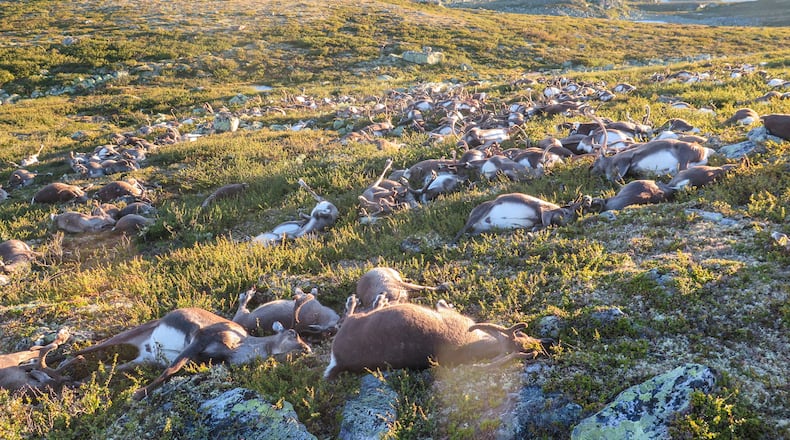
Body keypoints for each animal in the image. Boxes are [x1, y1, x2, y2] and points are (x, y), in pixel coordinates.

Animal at [75, 307, 312, 400]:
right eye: (293, 333)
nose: (307, 349)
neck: (238, 346)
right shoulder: (200, 338)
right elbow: (172, 369)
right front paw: (138, 392)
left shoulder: (203, 357)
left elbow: (173, 369)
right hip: (133, 332)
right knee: (85, 351)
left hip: (144, 359)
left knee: (108, 368)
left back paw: (78, 381)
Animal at [324, 298, 551, 379]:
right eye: (522, 333)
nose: (546, 343)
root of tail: (339, 361)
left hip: (353, 323)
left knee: (349, 315)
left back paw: (370, 300)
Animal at [453, 193, 590, 242]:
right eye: (567, 212)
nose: (565, 223)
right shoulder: (544, 212)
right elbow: (545, 224)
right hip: (478, 215)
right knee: (461, 230)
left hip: (481, 229)